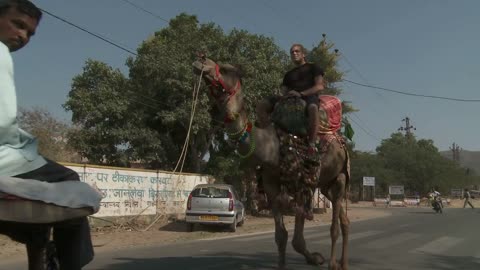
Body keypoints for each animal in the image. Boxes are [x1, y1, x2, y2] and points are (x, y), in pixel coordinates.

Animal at [193, 57, 350, 270]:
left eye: (225, 69)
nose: (201, 61)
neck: (273, 146)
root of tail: (340, 140)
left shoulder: (300, 182)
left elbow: (297, 237)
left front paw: (317, 258)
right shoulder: (271, 184)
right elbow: (282, 236)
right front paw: (305, 260)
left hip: (340, 175)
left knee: (335, 225)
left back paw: (334, 263)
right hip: (325, 184)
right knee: (344, 219)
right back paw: (344, 262)